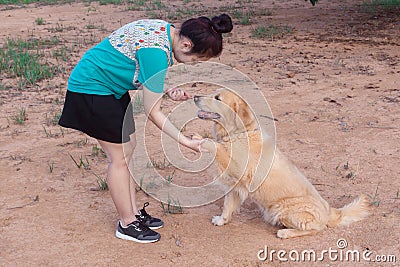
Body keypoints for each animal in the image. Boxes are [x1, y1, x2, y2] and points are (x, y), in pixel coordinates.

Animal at [194, 89, 368, 239]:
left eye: (218, 98)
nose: (195, 96)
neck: (241, 133)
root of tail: (330, 211)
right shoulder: (235, 184)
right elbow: (227, 206)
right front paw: (221, 220)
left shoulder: (237, 169)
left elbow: (218, 148)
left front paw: (203, 141)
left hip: (279, 208)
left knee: (316, 229)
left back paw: (285, 232)